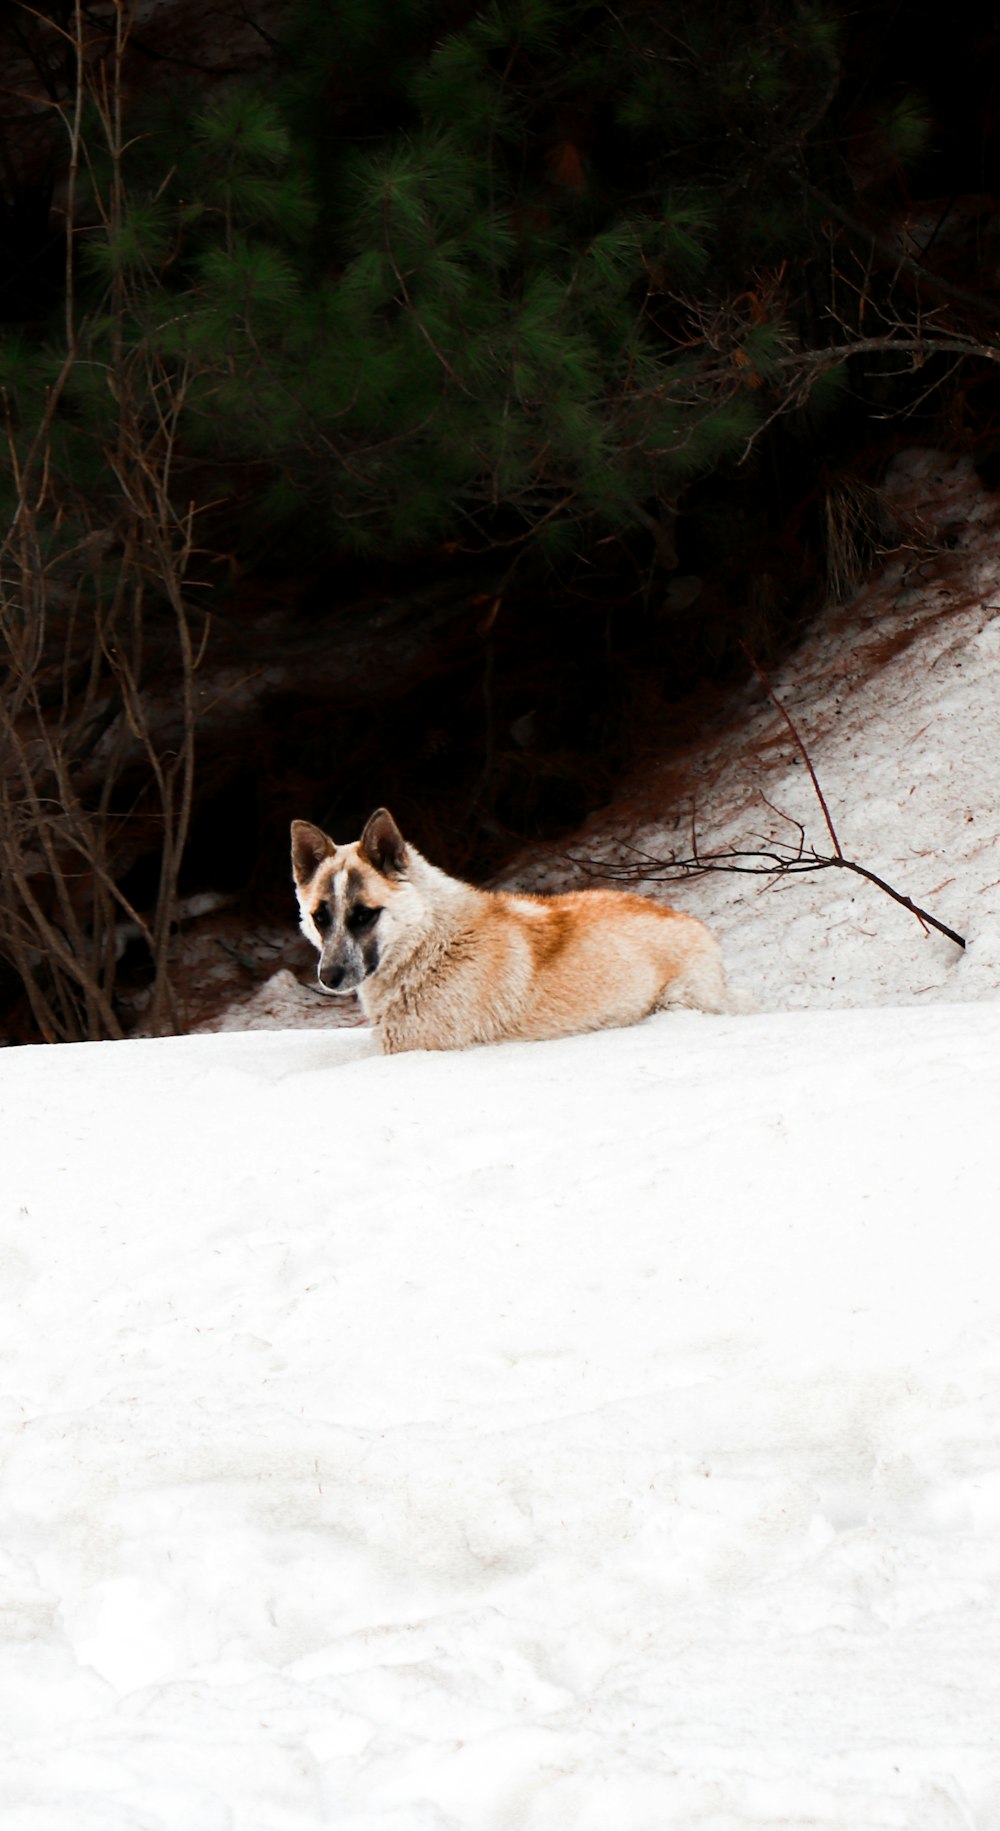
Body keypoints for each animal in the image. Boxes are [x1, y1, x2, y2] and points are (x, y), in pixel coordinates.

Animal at [291, 809, 728, 1054]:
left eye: (364, 915)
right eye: (320, 917)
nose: (328, 977)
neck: (429, 944)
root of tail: (692, 921)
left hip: (678, 1000)